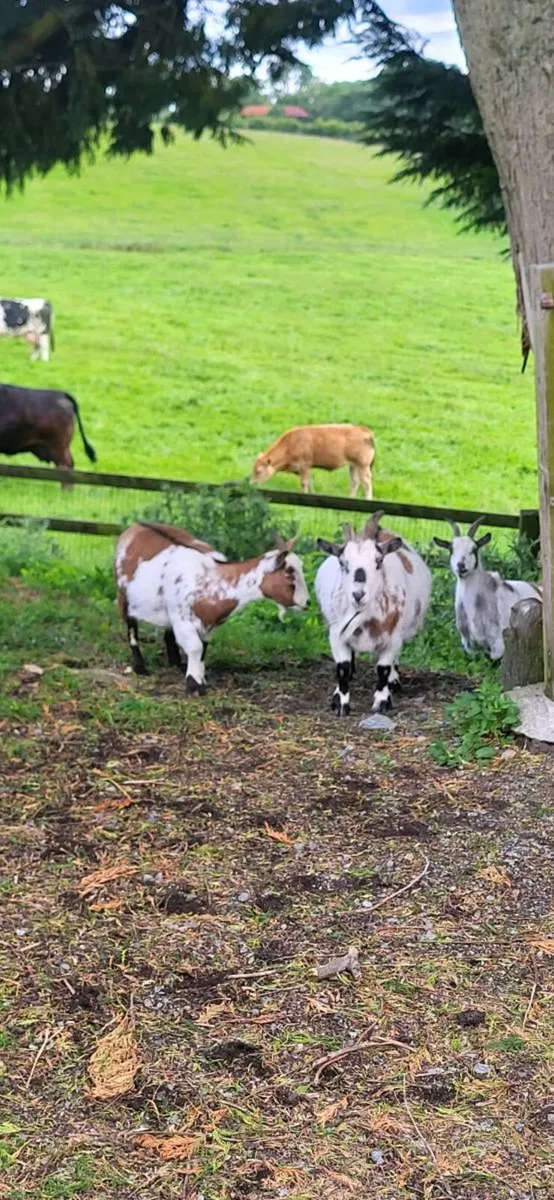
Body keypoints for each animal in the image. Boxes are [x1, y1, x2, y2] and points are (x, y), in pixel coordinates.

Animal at [115, 522, 309, 691]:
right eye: (289, 572)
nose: (306, 603)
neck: (213, 580)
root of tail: (135, 527)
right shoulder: (183, 619)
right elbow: (195, 647)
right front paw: (194, 686)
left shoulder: (208, 624)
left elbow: (203, 649)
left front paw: (200, 679)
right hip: (123, 595)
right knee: (131, 627)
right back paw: (140, 667)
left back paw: (176, 663)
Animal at [315, 512, 432, 716]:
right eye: (342, 562)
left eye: (378, 561)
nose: (358, 594)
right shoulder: (336, 635)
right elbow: (343, 668)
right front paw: (341, 703)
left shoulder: (393, 637)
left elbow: (383, 669)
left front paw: (382, 702)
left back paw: (394, 681)